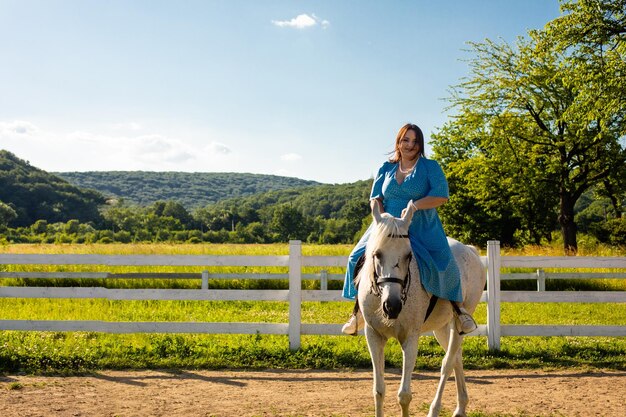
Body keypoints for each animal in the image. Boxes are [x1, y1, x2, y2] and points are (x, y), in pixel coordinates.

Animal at [356, 200, 482, 414]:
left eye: (408, 255)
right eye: (377, 254)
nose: (392, 306)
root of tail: (469, 249)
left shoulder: (410, 338)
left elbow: (404, 395)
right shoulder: (374, 336)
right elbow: (379, 391)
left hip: (458, 324)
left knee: (448, 362)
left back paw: (436, 410)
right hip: (441, 327)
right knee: (456, 358)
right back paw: (460, 407)